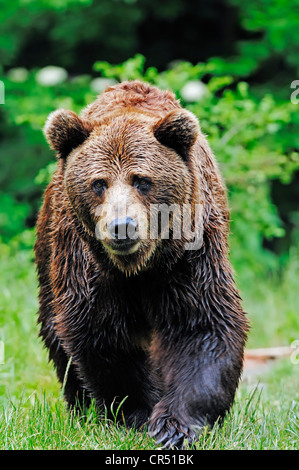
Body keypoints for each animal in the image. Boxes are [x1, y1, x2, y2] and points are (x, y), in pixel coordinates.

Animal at [34, 80, 251, 448]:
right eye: (99, 183)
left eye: (142, 180)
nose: (122, 226)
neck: (140, 267)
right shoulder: (90, 267)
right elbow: (103, 335)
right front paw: (135, 416)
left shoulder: (190, 256)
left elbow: (203, 327)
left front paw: (174, 426)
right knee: (55, 332)